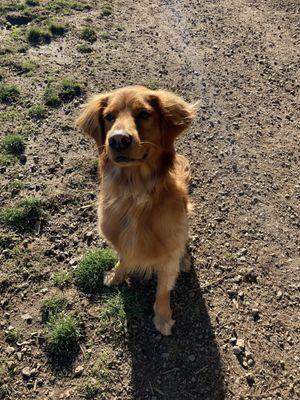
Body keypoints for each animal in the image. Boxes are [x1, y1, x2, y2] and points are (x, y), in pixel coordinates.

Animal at [76, 86, 196, 334]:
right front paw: (116, 276)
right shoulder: (121, 241)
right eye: (109, 117)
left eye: (144, 114)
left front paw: (162, 317)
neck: (134, 195)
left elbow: (162, 291)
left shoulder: (168, 256)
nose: (118, 140)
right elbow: (123, 260)